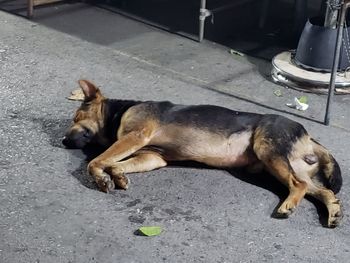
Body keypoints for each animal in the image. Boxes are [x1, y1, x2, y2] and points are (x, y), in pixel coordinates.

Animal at [62, 80, 342, 229]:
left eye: (76, 117)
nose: (63, 141)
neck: (120, 111)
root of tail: (308, 136)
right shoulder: (152, 156)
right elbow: (116, 163)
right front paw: (117, 175)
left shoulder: (136, 137)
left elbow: (96, 161)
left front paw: (101, 177)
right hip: (283, 165)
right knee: (320, 189)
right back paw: (333, 211)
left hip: (268, 151)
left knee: (298, 185)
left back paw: (288, 205)